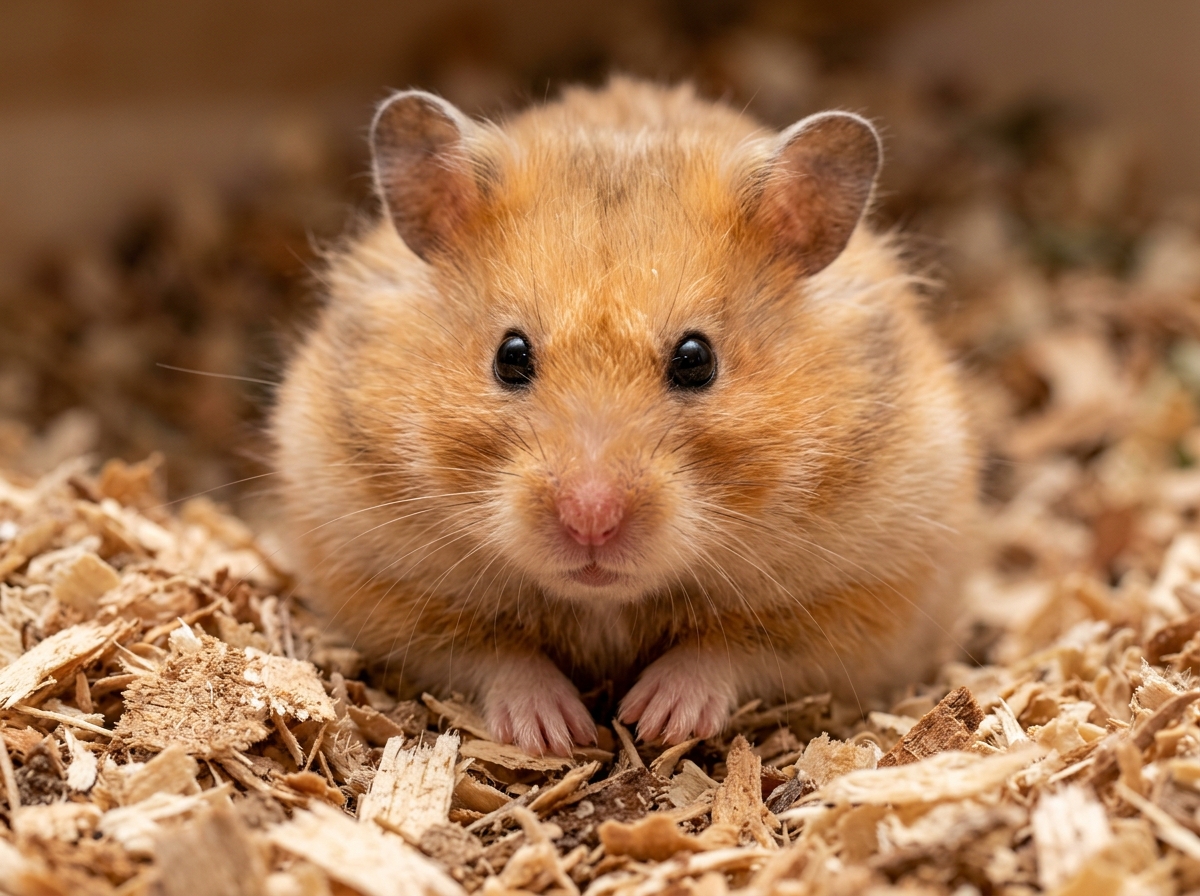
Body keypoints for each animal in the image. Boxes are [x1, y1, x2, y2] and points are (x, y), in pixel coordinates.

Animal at [272, 78, 978, 756]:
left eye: (696, 359)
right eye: (510, 355)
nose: (590, 520)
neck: (604, 602)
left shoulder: (865, 598)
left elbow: (728, 648)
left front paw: (654, 719)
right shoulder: (374, 581)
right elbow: (496, 652)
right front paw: (558, 733)